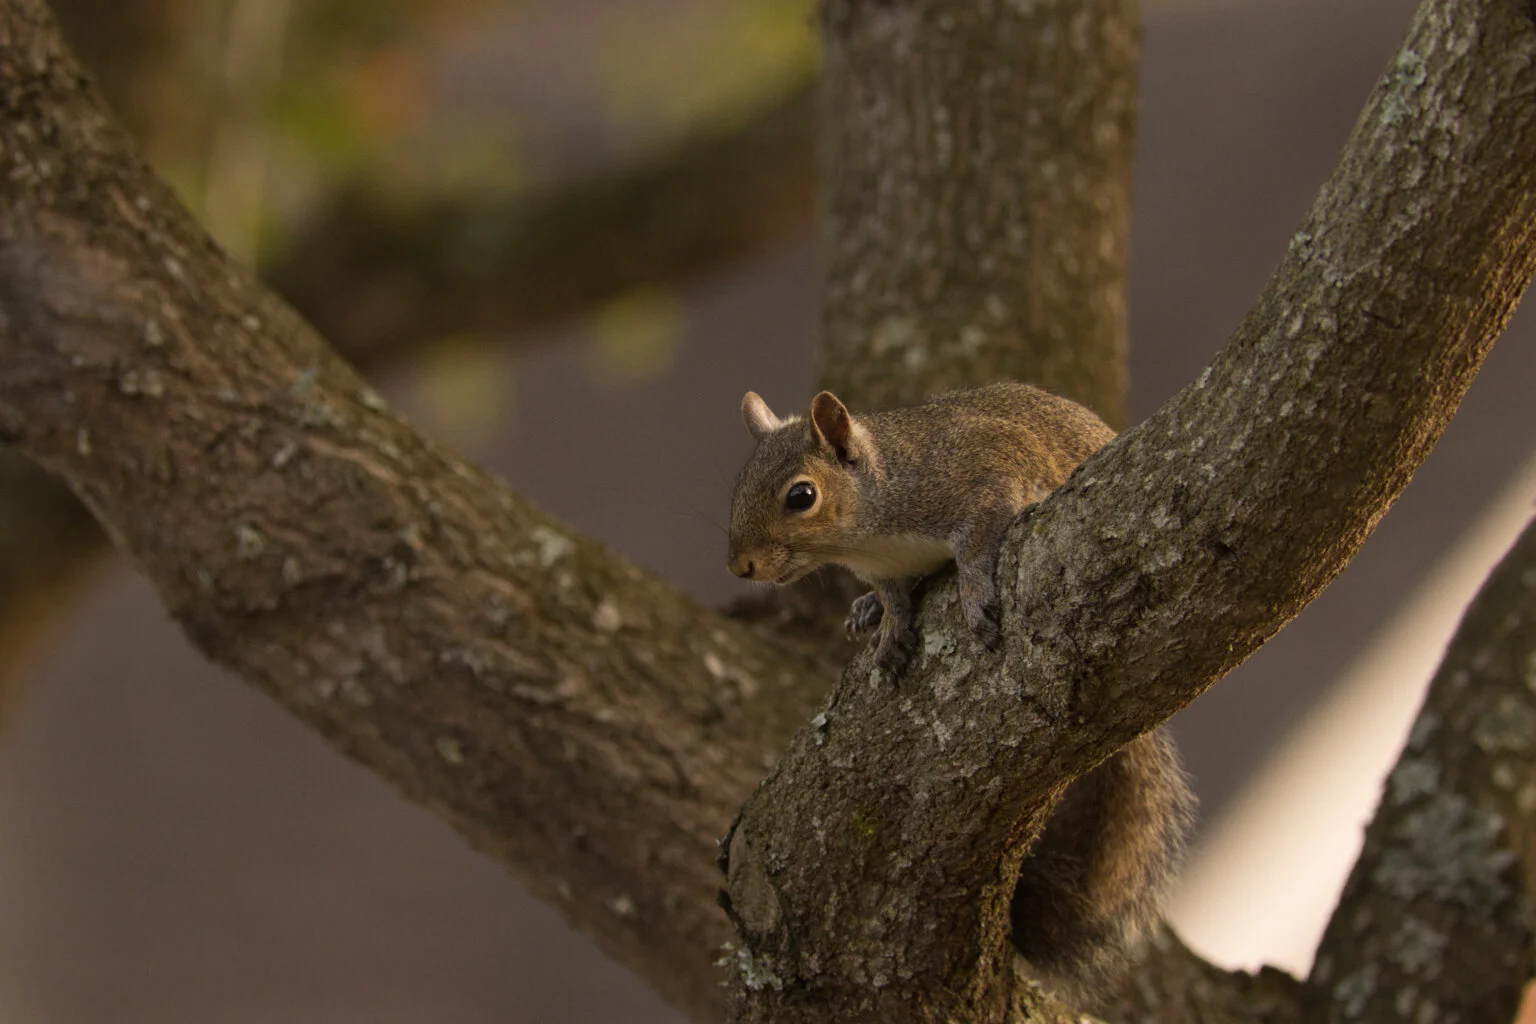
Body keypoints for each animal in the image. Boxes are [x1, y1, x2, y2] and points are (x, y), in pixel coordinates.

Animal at [726, 381, 1195, 1006]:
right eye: (739, 486)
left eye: (801, 496)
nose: (740, 566)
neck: (872, 531)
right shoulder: (888, 568)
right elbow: (895, 594)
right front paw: (890, 621)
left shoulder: (982, 479)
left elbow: (977, 549)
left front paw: (974, 595)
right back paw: (866, 611)